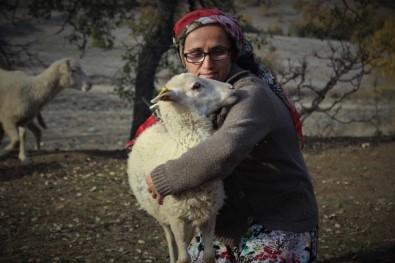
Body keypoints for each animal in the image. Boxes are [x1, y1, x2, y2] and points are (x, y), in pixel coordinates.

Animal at [128, 73, 237, 263]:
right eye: (196, 86)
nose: (231, 88)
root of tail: (154, 126)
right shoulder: (176, 218)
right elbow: (184, 258)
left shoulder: (209, 214)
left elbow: (209, 255)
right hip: (162, 215)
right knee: (171, 242)